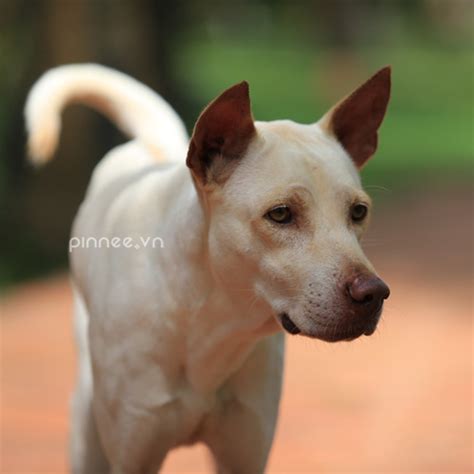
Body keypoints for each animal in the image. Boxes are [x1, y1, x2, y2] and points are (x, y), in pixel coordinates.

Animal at [24, 64, 390, 474]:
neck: (211, 320)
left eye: (358, 212)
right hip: (87, 431)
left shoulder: (245, 450)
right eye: (281, 214)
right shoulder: (135, 446)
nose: (374, 293)